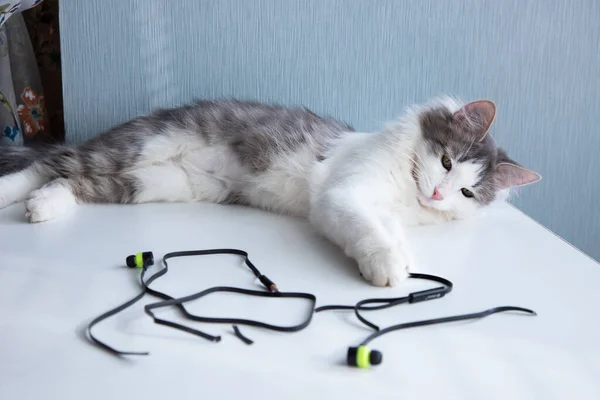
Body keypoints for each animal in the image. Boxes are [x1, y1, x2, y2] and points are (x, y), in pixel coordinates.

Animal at [0, 96, 540, 284]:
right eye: (445, 162)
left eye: (467, 194)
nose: (438, 196)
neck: (405, 190)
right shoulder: (341, 195)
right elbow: (367, 229)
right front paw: (386, 265)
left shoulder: (390, 210)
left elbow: (389, 230)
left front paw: (402, 255)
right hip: (141, 147)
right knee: (50, 162)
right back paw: (14, 192)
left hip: (153, 182)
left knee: (71, 179)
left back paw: (45, 205)